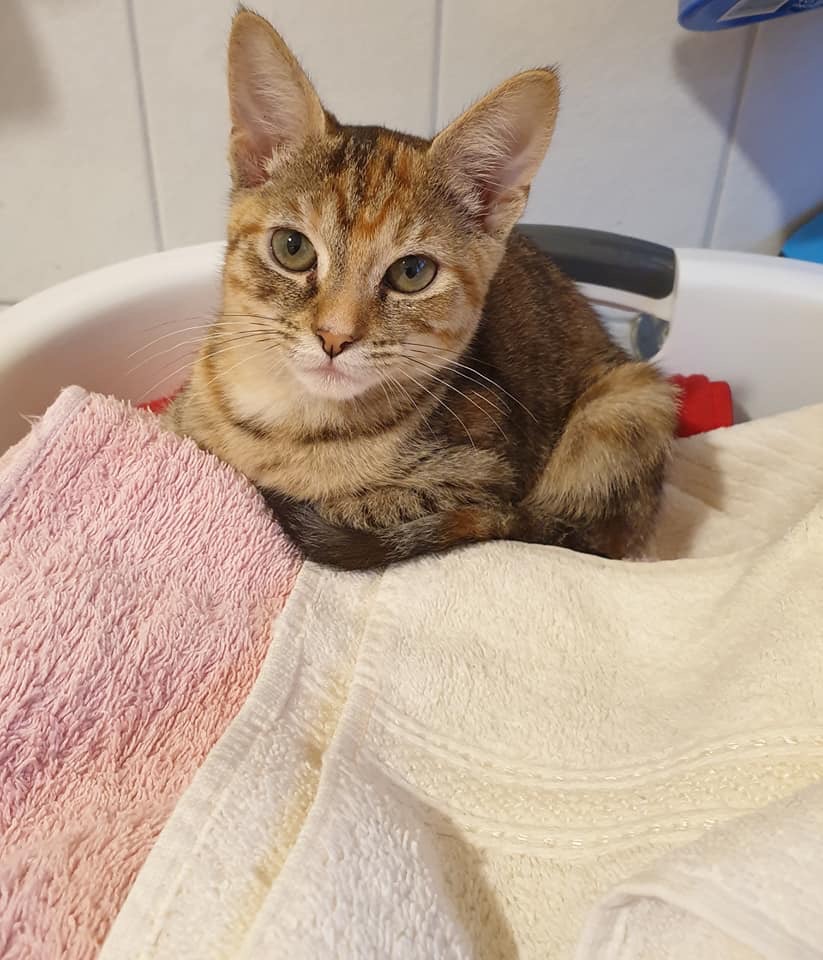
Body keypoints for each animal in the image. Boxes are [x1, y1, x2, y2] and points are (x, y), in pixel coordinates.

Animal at [163, 7, 678, 570]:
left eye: (412, 273)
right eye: (292, 247)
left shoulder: (486, 475)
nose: (334, 336)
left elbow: (368, 504)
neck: (289, 420)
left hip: (627, 404)